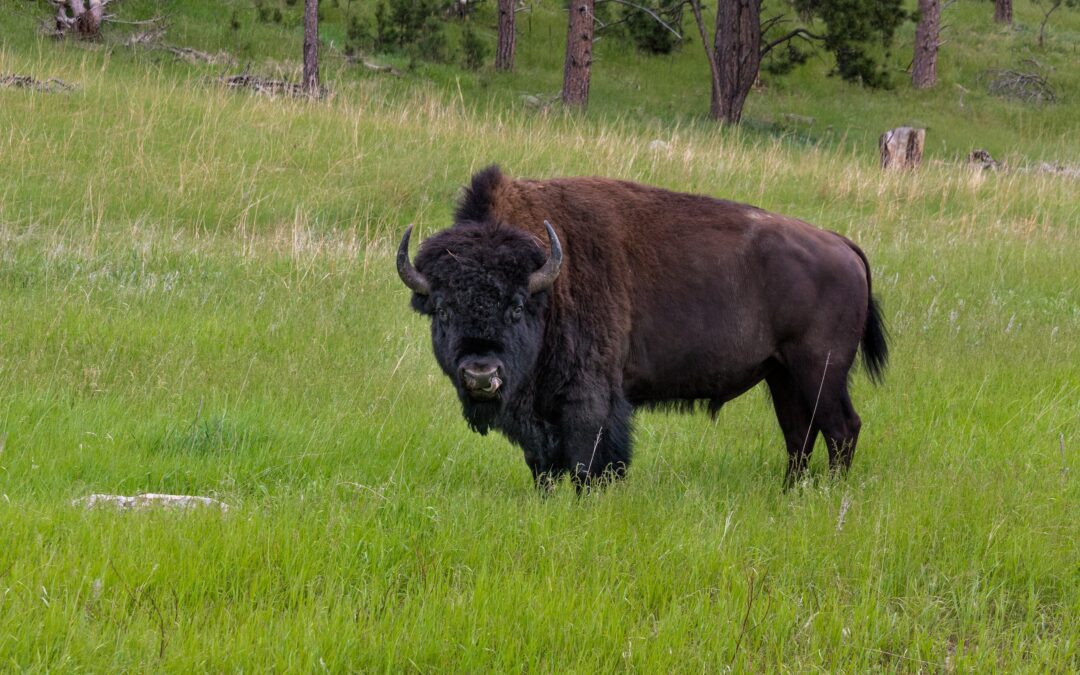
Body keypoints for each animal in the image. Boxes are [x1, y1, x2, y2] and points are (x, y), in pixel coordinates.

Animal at [397, 166, 885, 486]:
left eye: (516, 306)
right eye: (442, 309)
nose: (481, 374)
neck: (549, 282)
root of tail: (841, 244)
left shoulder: (590, 399)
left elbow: (588, 461)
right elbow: (543, 466)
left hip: (820, 370)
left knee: (842, 429)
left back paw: (828, 495)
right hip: (782, 374)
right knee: (799, 434)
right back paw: (790, 494)